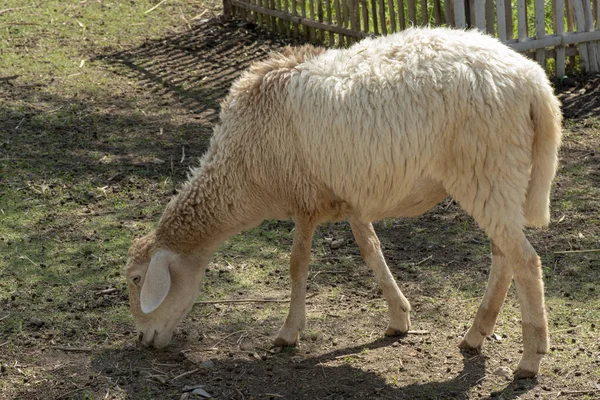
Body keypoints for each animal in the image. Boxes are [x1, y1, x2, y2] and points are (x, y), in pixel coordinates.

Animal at [125, 27, 564, 378]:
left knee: (525, 261)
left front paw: (288, 333)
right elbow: (371, 250)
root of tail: (532, 81)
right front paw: (399, 317)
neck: (242, 175)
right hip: (497, 177)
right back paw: (475, 335)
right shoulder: (348, 197)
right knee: (504, 257)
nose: (144, 340)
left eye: (135, 279)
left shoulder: (304, 199)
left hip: (488, 170)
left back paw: (530, 359)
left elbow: (297, 264)